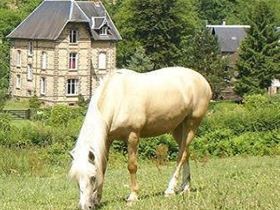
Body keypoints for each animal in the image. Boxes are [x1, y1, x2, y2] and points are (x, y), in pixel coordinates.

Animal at [69, 67, 211, 210]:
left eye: (92, 177)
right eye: (76, 179)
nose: (85, 206)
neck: (117, 98)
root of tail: (202, 80)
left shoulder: (133, 136)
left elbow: (132, 166)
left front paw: (133, 196)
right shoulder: (107, 140)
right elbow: (102, 167)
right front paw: (98, 199)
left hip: (191, 124)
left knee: (181, 156)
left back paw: (170, 190)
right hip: (177, 128)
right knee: (186, 153)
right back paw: (185, 188)